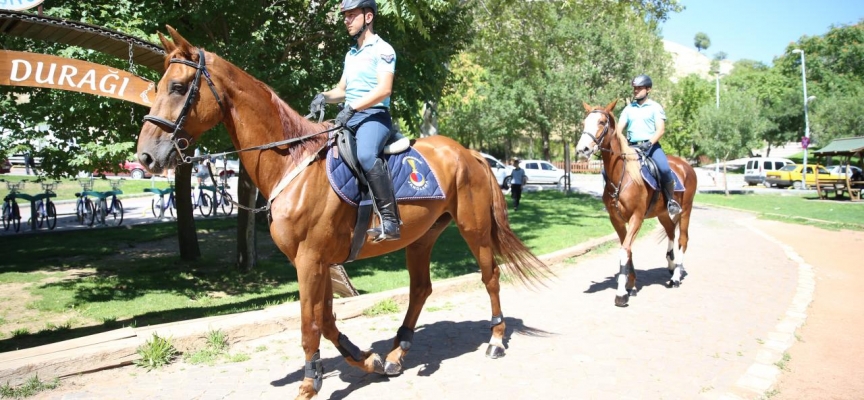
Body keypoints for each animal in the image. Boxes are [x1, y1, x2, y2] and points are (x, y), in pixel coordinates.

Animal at [135, 26, 548, 398]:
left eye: (177, 87)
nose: (146, 156)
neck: (293, 162)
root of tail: (470, 153)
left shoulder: (310, 260)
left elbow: (310, 323)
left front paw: (309, 383)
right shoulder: (318, 261)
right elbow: (326, 320)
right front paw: (366, 360)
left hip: (474, 230)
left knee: (491, 277)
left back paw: (495, 339)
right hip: (422, 237)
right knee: (420, 289)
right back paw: (396, 354)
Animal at [576, 100, 700, 306]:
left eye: (602, 122)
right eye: (584, 122)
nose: (582, 150)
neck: (622, 175)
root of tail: (686, 165)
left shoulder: (637, 218)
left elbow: (624, 250)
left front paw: (621, 293)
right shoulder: (616, 220)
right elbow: (628, 250)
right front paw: (631, 286)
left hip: (686, 210)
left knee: (682, 239)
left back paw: (675, 277)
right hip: (663, 213)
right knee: (670, 232)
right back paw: (671, 264)